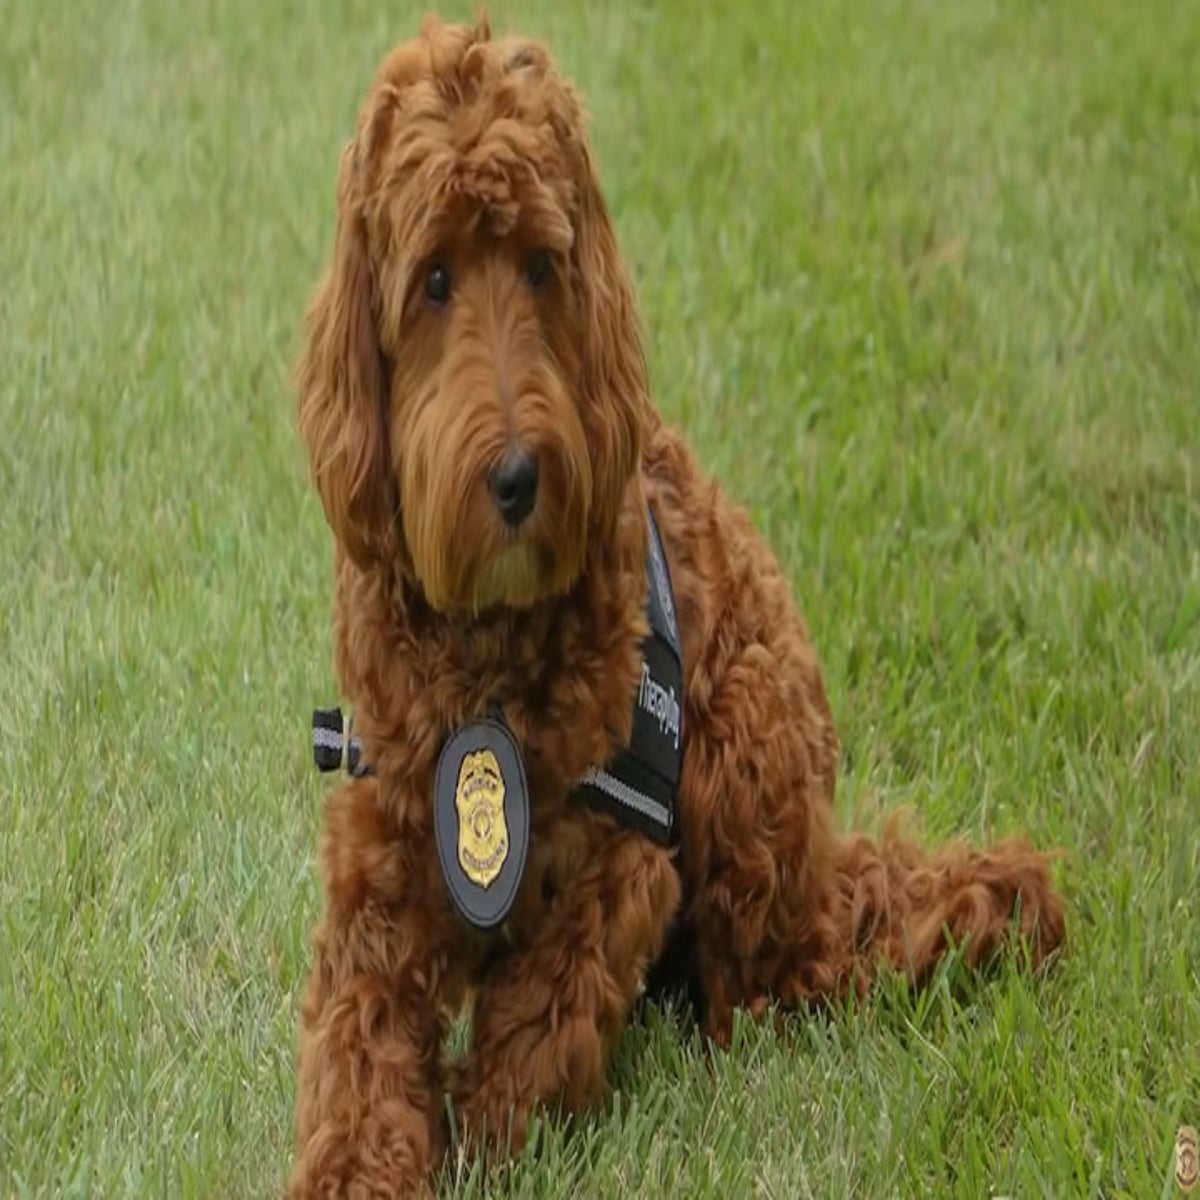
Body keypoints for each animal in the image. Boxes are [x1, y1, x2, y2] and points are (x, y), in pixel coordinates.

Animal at [292, 16, 1070, 1190]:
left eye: (543, 265)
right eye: (432, 280)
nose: (516, 477)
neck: (491, 658)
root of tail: (825, 870)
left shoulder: (620, 864)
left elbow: (539, 1022)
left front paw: (486, 1140)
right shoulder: (384, 854)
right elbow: (357, 1048)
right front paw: (357, 1168)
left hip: (742, 739)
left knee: (773, 978)